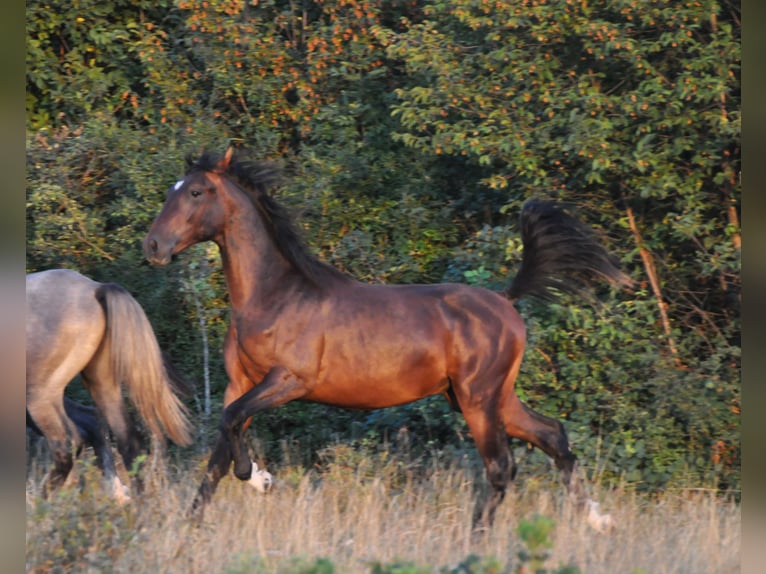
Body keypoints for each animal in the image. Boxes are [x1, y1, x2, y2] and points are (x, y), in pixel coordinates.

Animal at [142, 150, 632, 532]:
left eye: (196, 192)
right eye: (174, 188)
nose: (153, 247)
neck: (275, 295)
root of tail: (505, 300)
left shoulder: (289, 381)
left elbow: (231, 427)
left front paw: (258, 477)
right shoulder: (240, 383)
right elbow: (218, 452)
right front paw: (192, 523)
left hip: (479, 400)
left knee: (500, 467)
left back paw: (476, 541)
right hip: (488, 398)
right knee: (553, 436)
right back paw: (599, 520)